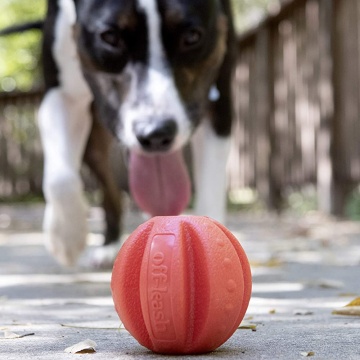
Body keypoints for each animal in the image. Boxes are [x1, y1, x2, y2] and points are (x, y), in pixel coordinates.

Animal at [2, 0, 236, 268]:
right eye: (110, 37)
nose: (156, 133)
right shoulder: (60, 94)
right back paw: (108, 244)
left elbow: (211, 189)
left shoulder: (218, 103)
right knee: (110, 192)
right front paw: (65, 236)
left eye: (192, 36)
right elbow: (61, 180)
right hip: (93, 147)